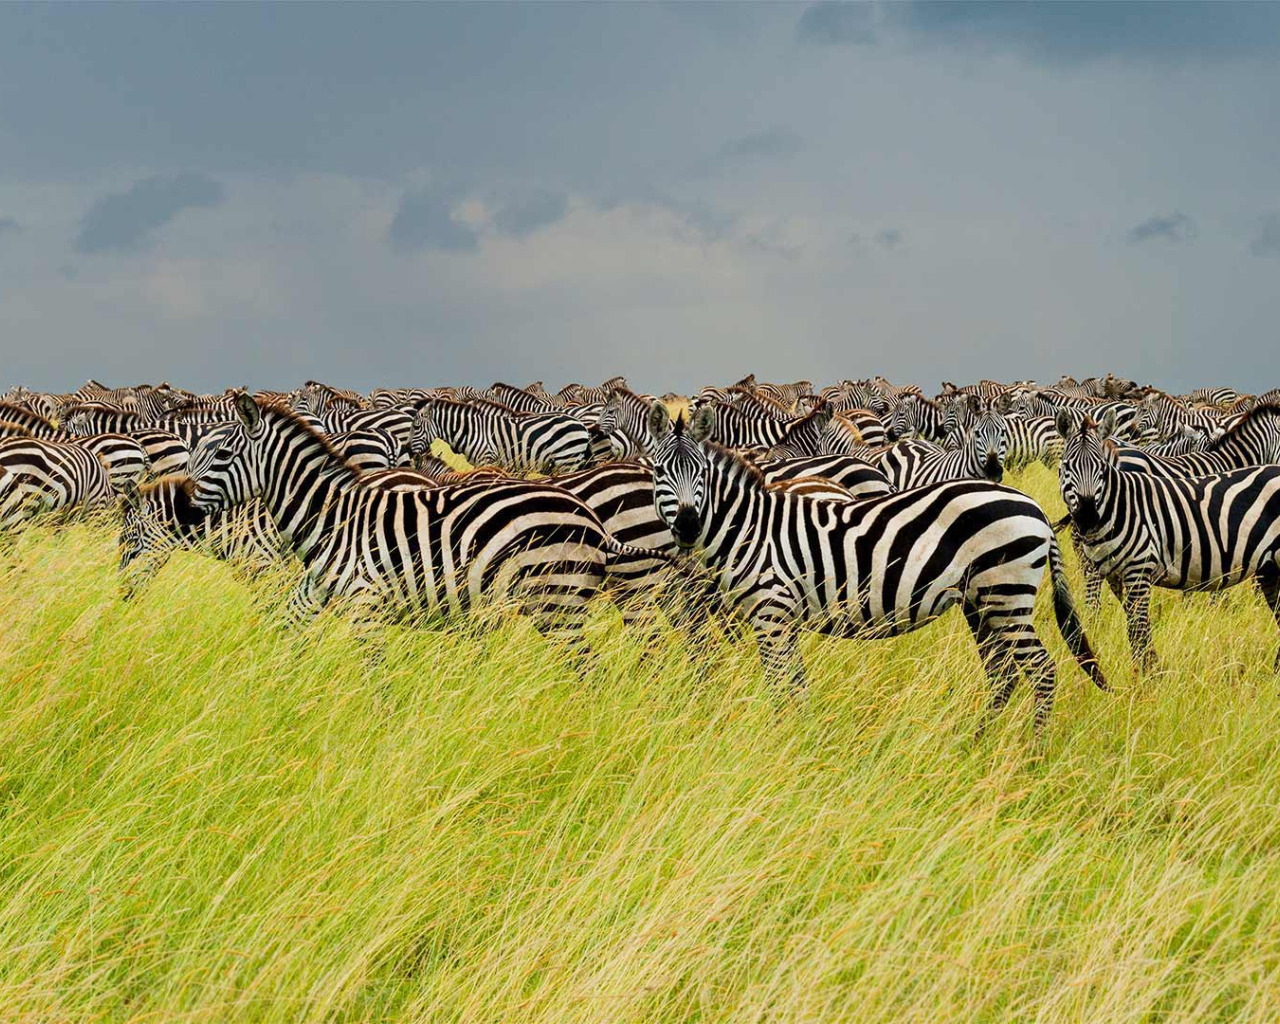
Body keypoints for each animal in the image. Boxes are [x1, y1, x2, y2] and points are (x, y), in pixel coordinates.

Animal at [407, 396, 591, 473]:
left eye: (416, 427)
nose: (408, 451)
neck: (471, 431)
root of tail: (581, 425)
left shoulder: (486, 459)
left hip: (567, 460)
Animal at [645, 399, 1105, 727]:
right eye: (661, 474)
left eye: (700, 473)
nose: (687, 526)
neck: (751, 528)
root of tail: (1036, 509)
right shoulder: (781, 619)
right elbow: (796, 685)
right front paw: (802, 737)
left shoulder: (771, 615)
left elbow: (780, 687)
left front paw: (783, 742)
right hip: (981, 603)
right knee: (1003, 673)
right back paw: (978, 744)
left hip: (1006, 595)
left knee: (1042, 672)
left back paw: (1032, 756)